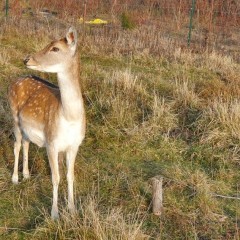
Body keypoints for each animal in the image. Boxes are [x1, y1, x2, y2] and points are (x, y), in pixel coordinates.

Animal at [8, 27, 85, 218]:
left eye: (55, 48)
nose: (27, 59)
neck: (70, 118)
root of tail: (14, 81)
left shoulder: (74, 145)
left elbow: (70, 176)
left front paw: (72, 210)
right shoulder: (51, 143)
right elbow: (55, 178)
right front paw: (54, 214)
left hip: (26, 127)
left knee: (26, 143)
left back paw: (26, 174)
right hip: (13, 116)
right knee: (17, 145)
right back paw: (15, 178)